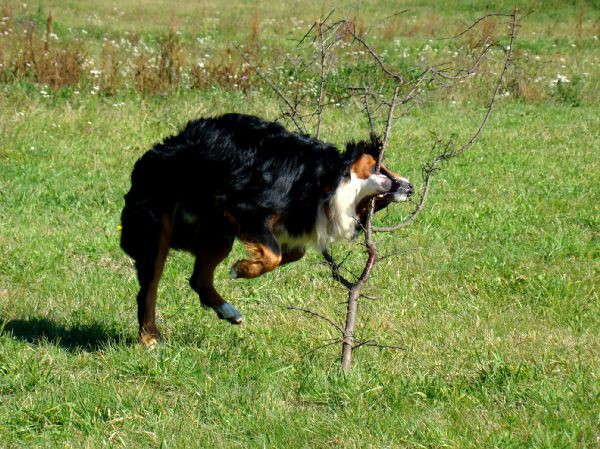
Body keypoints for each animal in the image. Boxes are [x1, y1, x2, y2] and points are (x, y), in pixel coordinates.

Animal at [120, 112, 412, 344]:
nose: (410, 187)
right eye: (379, 166)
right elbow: (274, 254)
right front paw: (241, 269)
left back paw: (228, 311)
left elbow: (292, 253)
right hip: (158, 228)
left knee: (198, 279)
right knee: (148, 289)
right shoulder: (245, 208)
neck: (325, 178)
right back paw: (149, 337)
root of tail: (161, 148)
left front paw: (247, 267)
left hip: (217, 233)